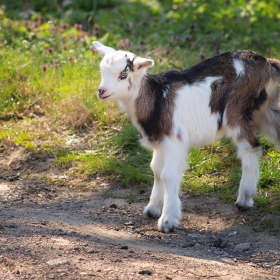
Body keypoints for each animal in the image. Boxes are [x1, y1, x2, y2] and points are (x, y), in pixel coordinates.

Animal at [92, 41, 280, 234]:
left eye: (123, 74)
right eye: (102, 70)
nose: (101, 91)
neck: (157, 98)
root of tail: (268, 63)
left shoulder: (174, 141)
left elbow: (168, 175)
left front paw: (167, 221)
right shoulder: (161, 142)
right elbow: (156, 170)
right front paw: (152, 209)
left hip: (238, 111)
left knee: (250, 147)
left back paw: (244, 199)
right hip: (266, 111)